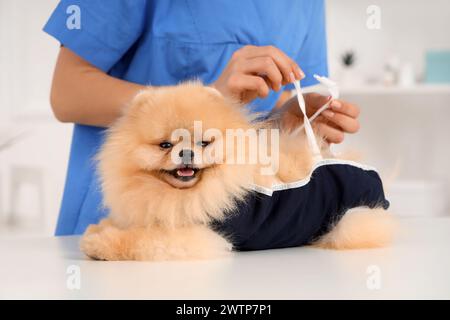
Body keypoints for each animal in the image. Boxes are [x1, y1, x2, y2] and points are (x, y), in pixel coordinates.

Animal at [81, 82, 394, 260]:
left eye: (204, 142)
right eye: (165, 144)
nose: (186, 153)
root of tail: (374, 175)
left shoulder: (202, 235)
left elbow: (142, 239)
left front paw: (100, 242)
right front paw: (101, 227)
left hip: (352, 220)